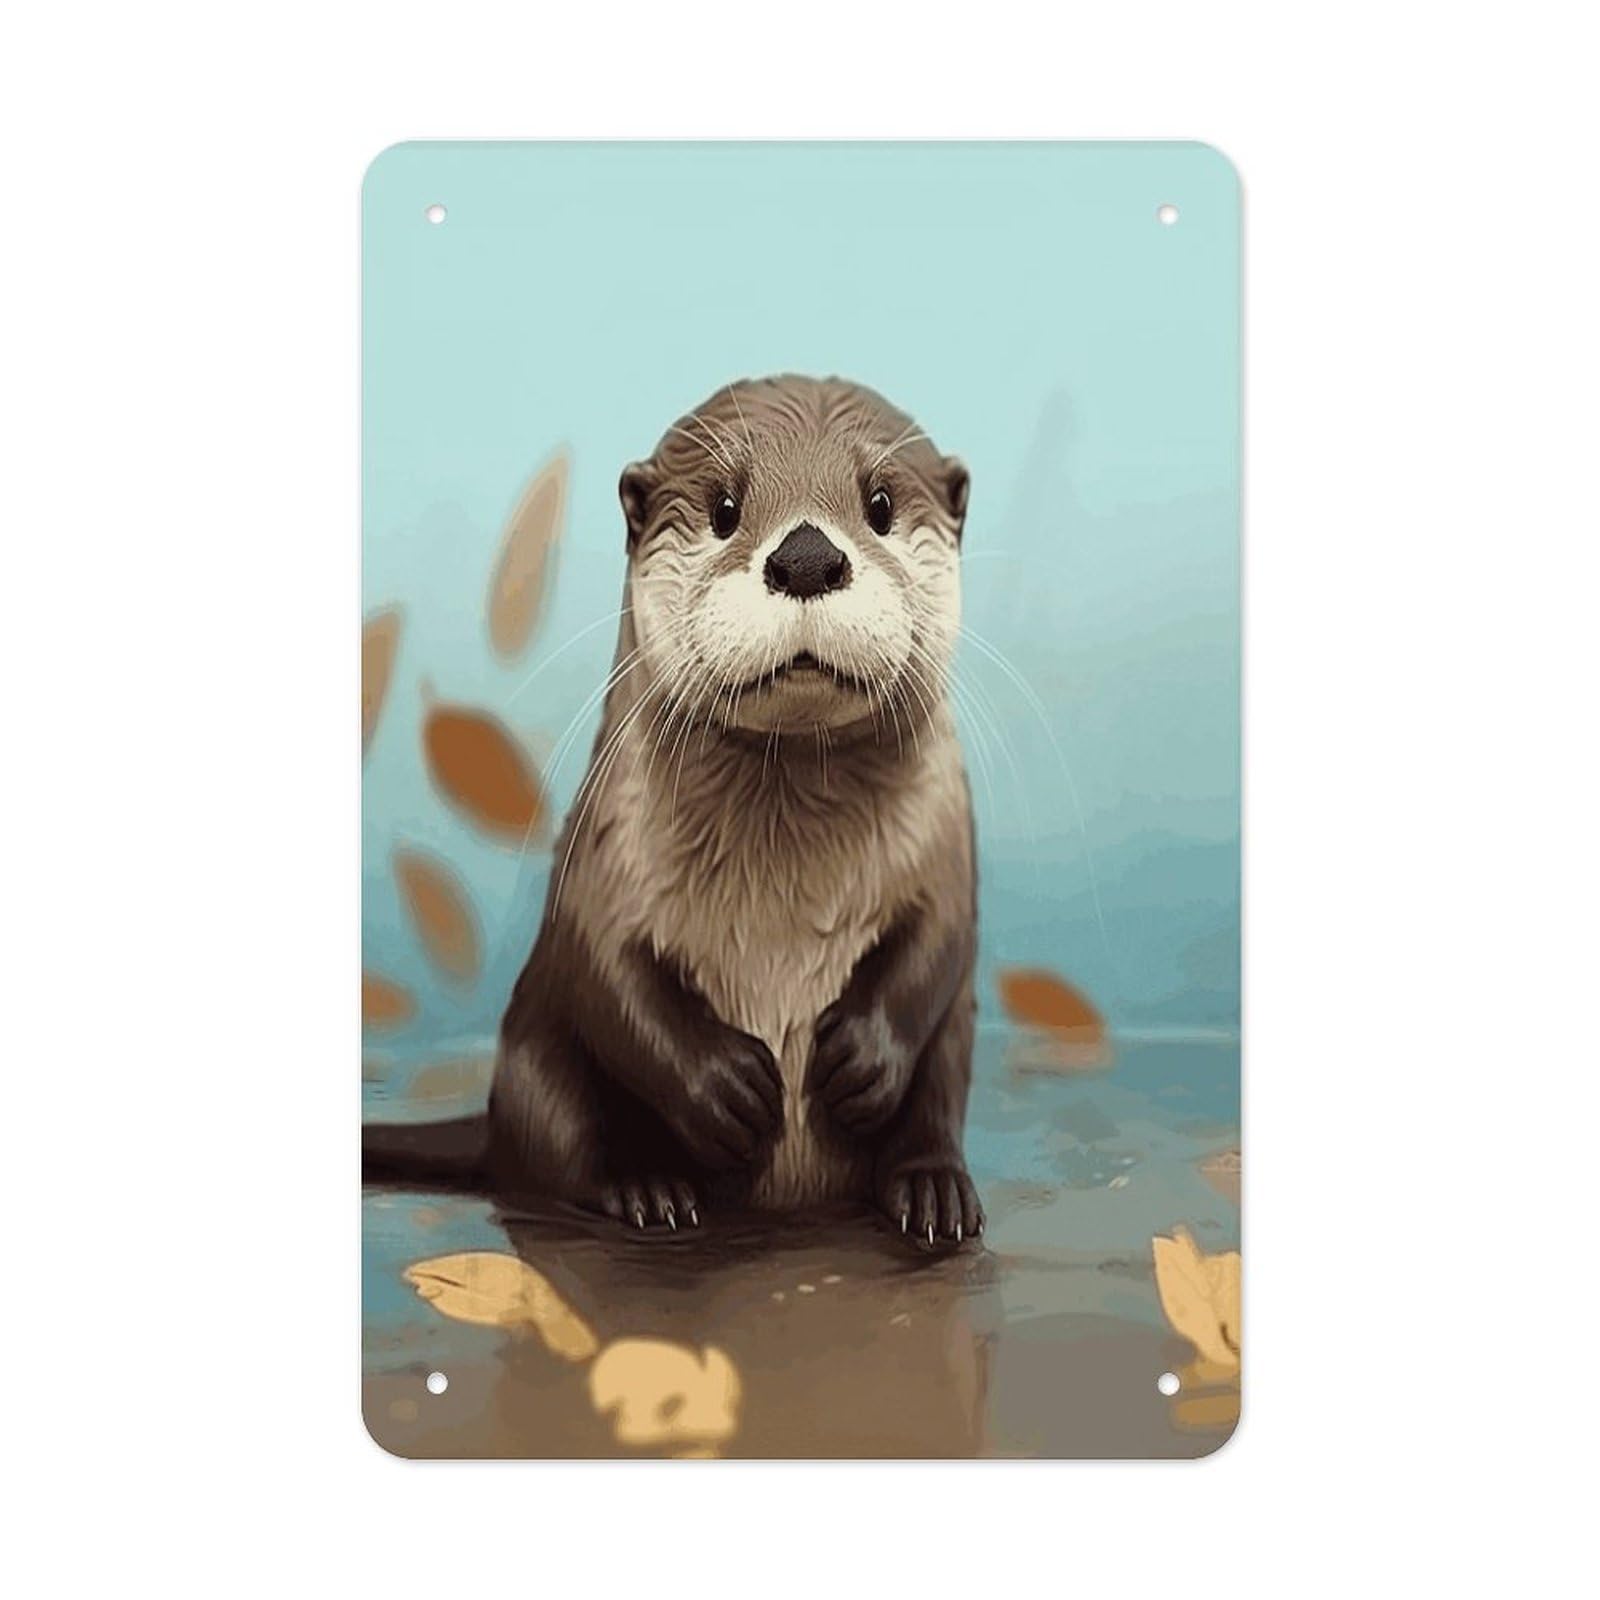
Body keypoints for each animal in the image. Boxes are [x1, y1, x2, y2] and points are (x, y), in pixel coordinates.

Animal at [364, 375, 981, 1246]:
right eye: (724, 506)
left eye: (882, 503)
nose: (806, 557)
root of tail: (492, 1125)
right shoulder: (604, 846)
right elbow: (606, 968)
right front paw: (726, 1088)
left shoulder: (946, 838)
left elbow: (939, 945)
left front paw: (863, 1056)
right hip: (537, 1059)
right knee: (563, 1148)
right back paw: (647, 1187)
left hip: (956, 1044)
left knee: (937, 1092)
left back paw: (933, 1191)